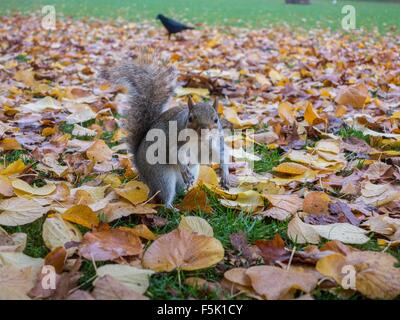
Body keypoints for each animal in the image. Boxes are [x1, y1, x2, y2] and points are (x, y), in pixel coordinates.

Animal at [101, 53, 230, 209]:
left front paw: (225, 173)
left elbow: (221, 154)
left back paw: (189, 192)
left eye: (216, 120)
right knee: (164, 194)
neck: (199, 141)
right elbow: (174, 153)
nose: (204, 131)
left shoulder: (215, 141)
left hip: (190, 172)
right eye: (190, 118)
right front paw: (183, 168)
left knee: (181, 188)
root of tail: (140, 165)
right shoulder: (175, 140)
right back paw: (171, 207)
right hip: (161, 175)